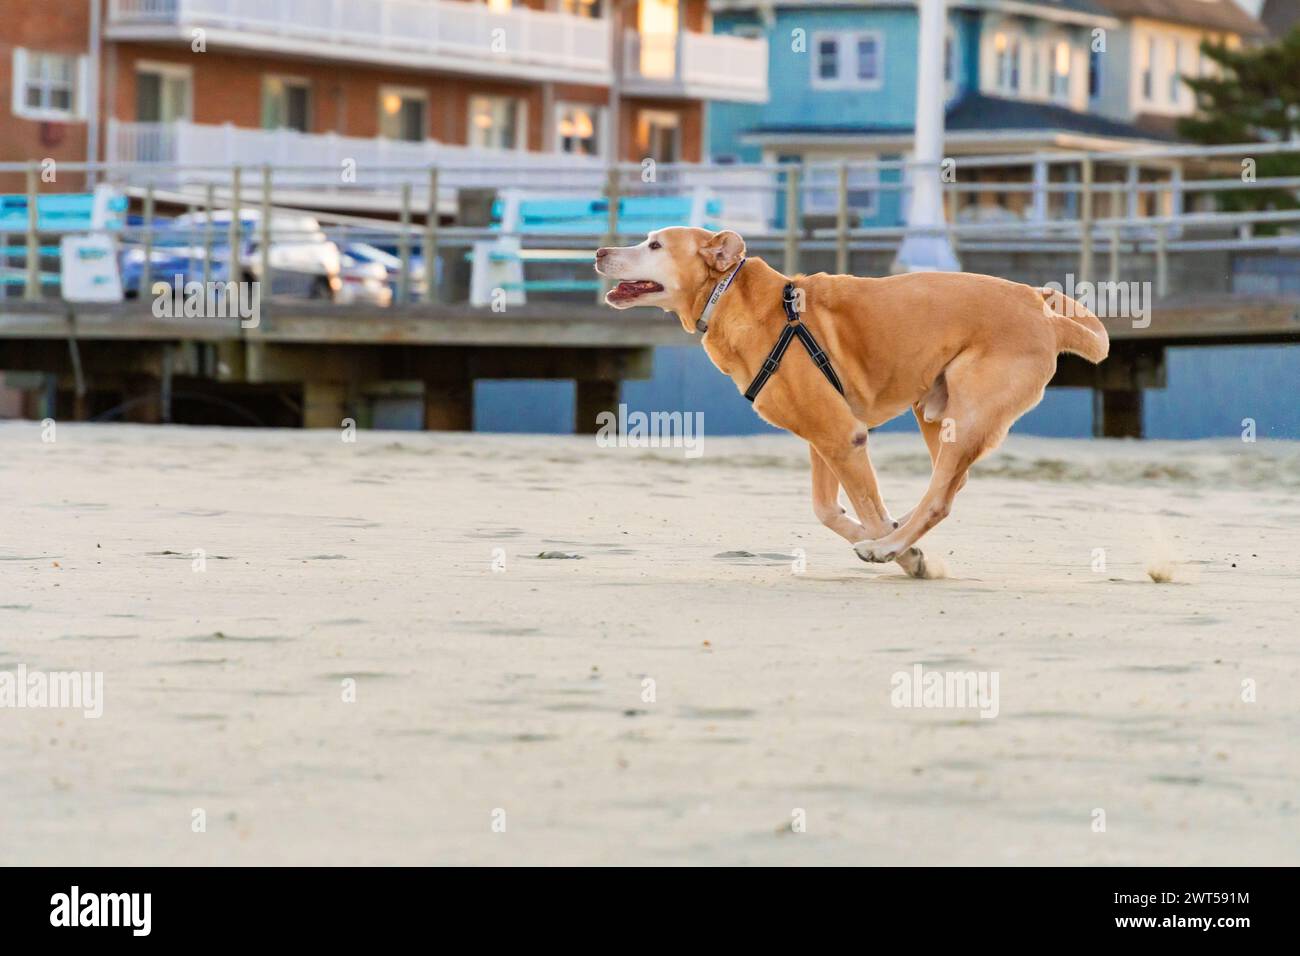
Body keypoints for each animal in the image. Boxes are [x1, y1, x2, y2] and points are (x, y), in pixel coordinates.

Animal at [595, 227, 1112, 580]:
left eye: (655, 246)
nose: (599, 253)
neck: (733, 300)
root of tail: (1043, 313)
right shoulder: (822, 438)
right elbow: (827, 510)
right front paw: (888, 541)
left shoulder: (844, 437)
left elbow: (866, 507)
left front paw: (898, 551)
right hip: (934, 409)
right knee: (949, 486)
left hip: (964, 415)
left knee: (940, 498)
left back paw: (890, 549)